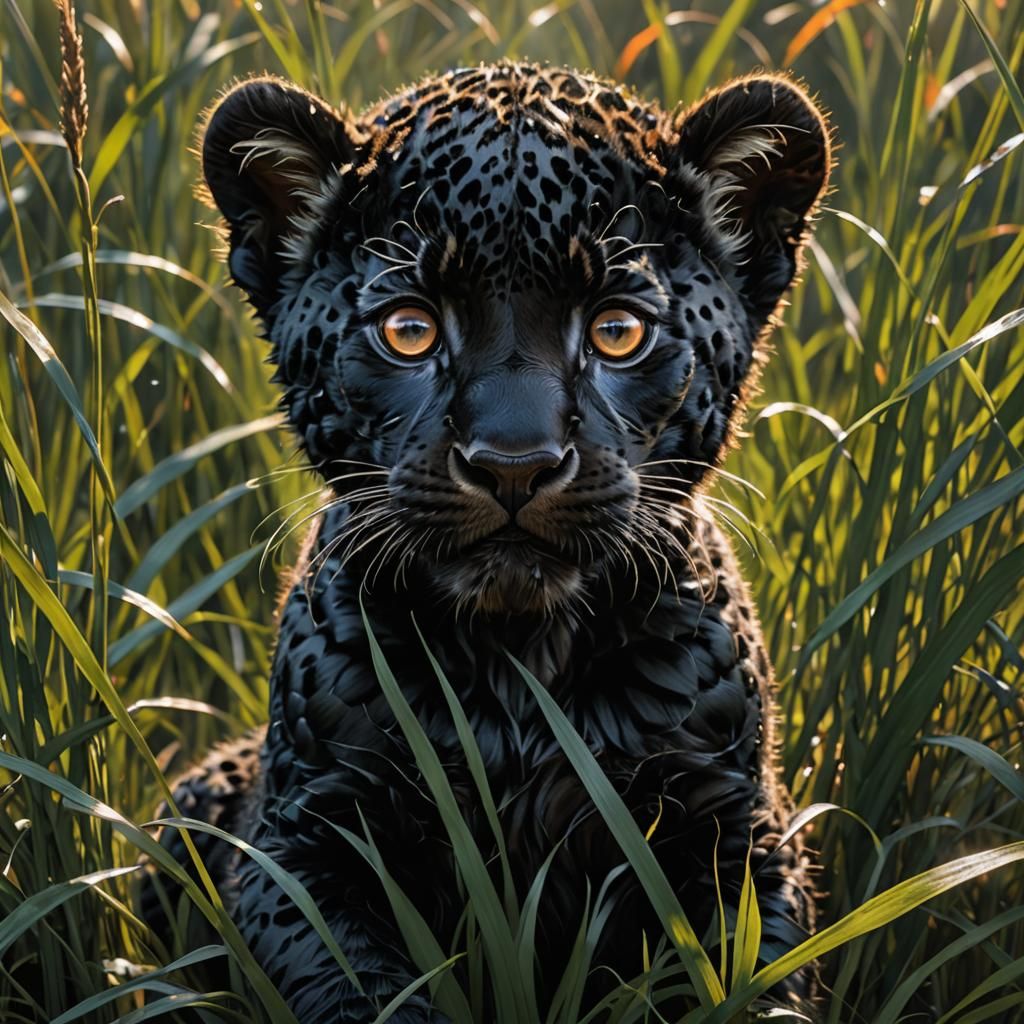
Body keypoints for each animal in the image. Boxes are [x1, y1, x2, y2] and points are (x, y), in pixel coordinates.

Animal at [142, 62, 832, 1022]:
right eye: (409, 329)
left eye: (618, 329)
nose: (513, 462)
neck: (518, 673)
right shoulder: (308, 849)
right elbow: (366, 996)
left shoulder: (736, 840)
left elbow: (752, 989)